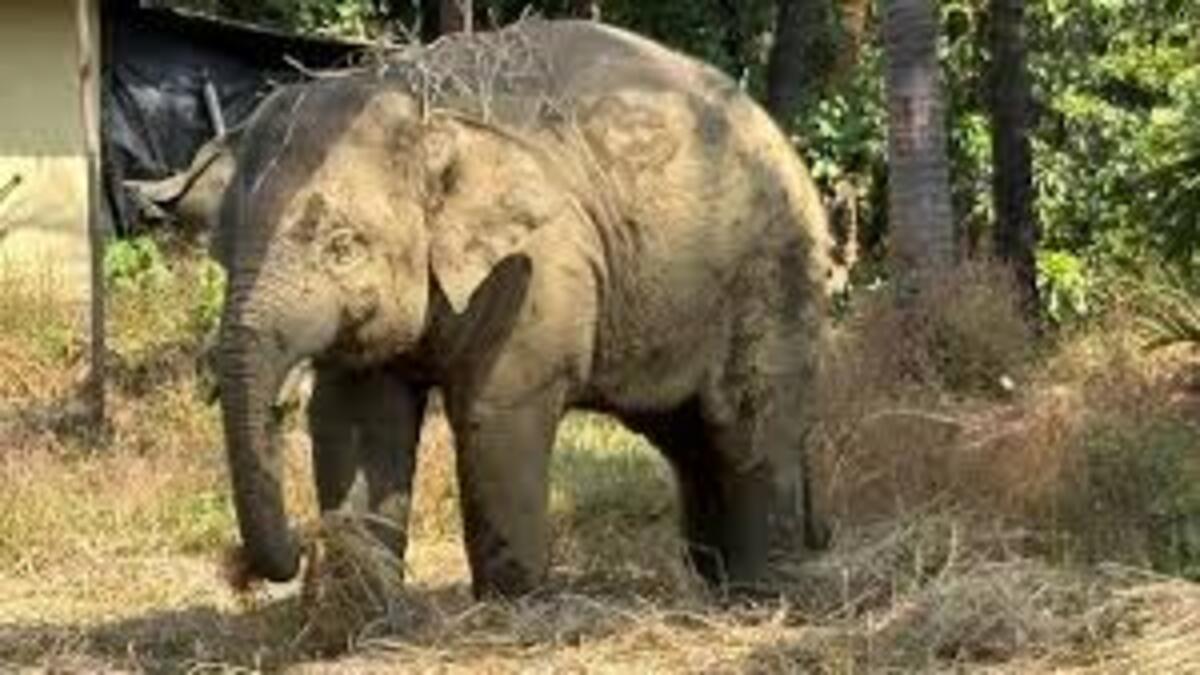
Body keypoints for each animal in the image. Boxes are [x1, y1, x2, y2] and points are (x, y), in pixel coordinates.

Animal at [212, 18, 835, 599]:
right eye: (222, 245)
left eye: (342, 247)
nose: (290, 551)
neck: (422, 102)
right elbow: (359, 417)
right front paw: (352, 611)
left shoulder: (538, 269)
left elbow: (496, 412)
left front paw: (510, 604)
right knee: (688, 437)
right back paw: (714, 580)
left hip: (773, 270)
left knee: (746, 421)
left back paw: (760, 587)